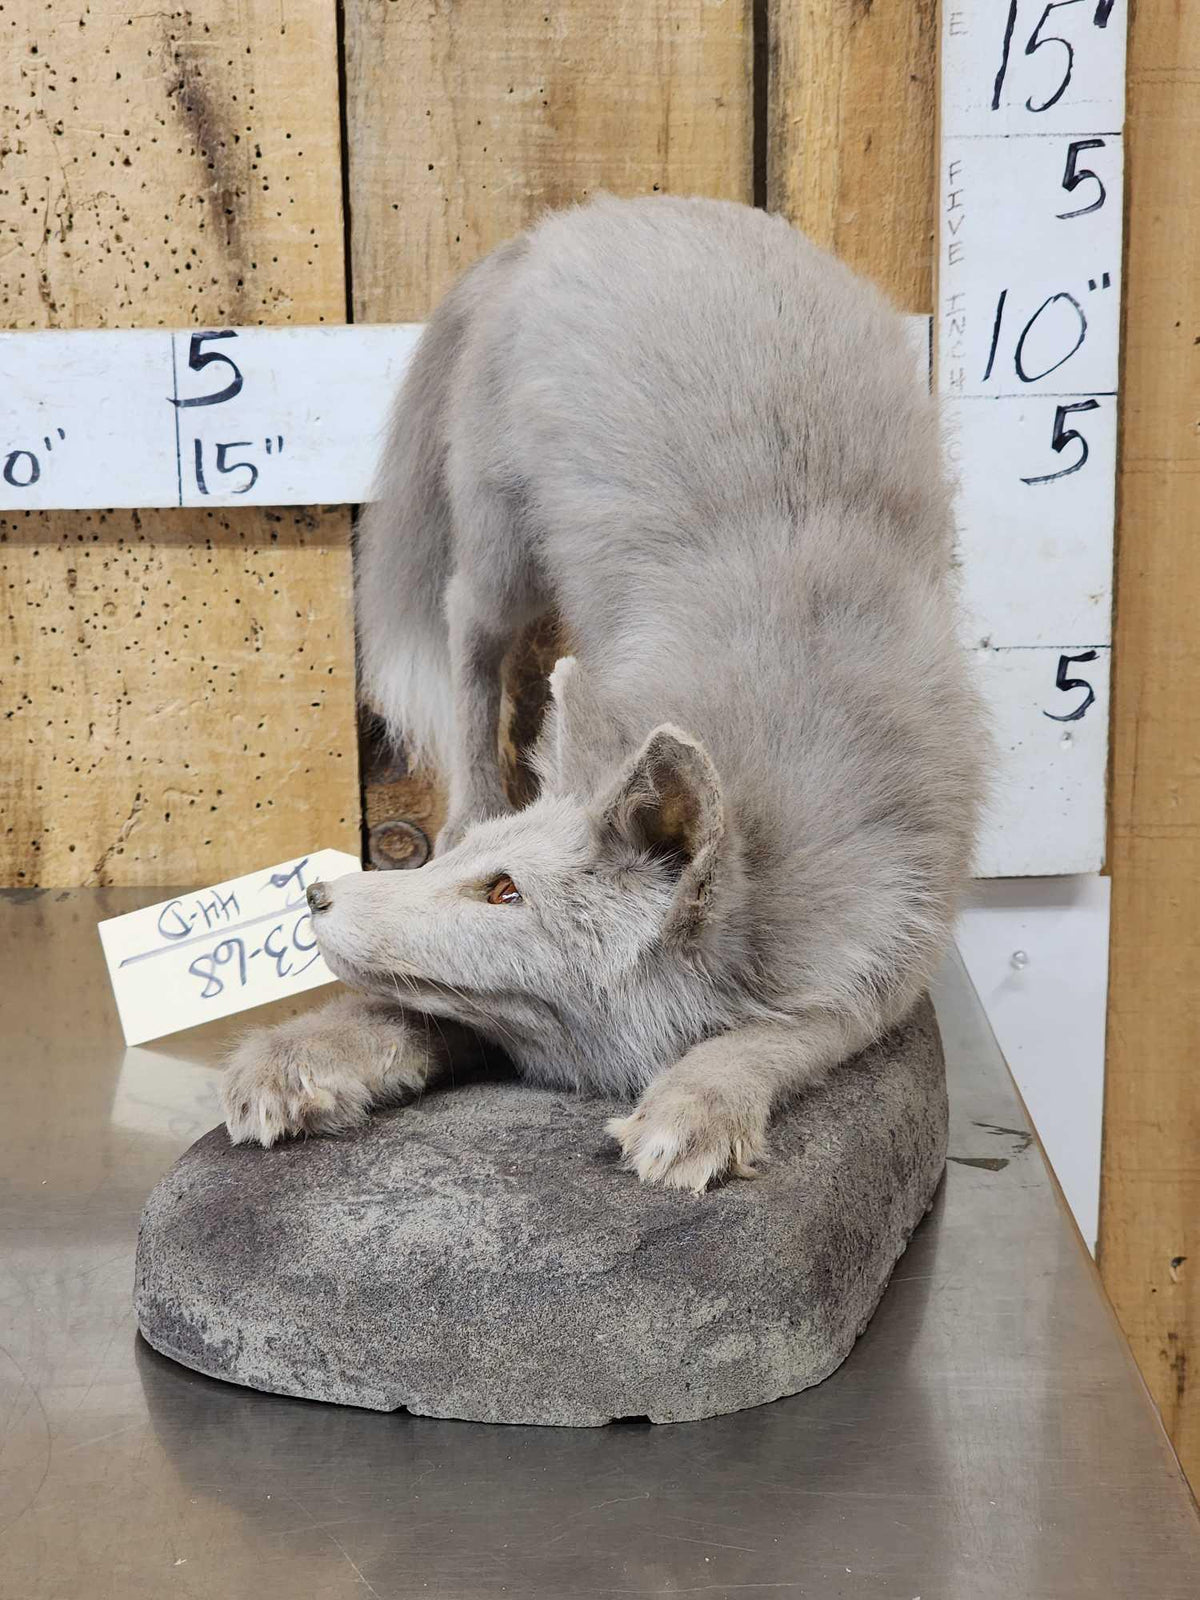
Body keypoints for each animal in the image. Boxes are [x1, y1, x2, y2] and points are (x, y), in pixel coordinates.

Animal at [222, 195, 984, 1192]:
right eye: (476, 874)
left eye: (504, 893)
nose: (316, 897)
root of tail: (582, 217)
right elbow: (408, 1008)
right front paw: (303, 1054)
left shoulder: (886, 956)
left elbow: (769, 1037)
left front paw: (695, 1105)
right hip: (501, 549)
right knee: (469, 640)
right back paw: (469, 790)